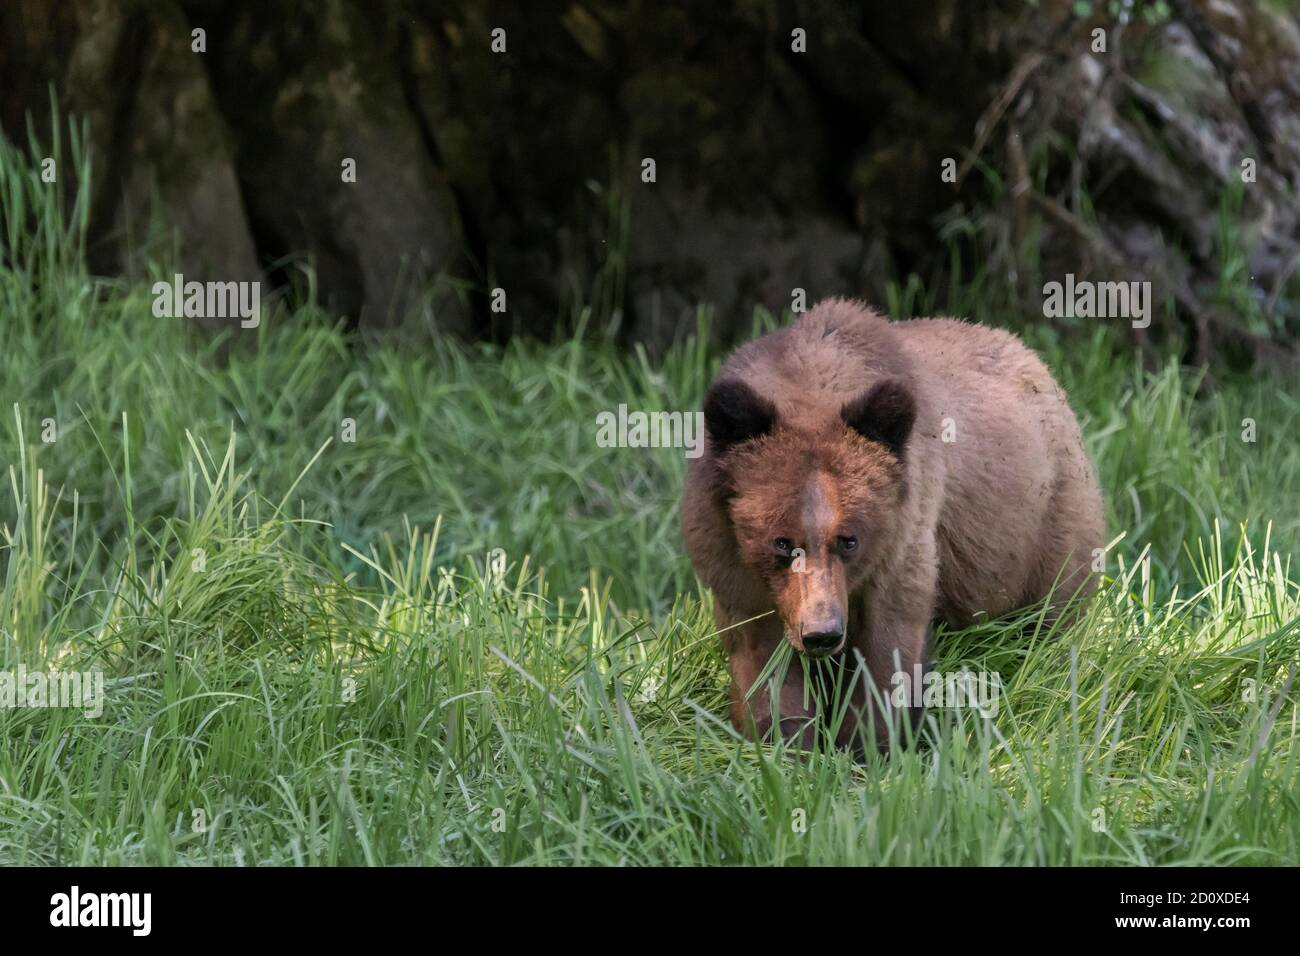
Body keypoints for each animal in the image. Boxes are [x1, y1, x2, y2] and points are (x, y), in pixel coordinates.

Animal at [681, 295, 1107, 749]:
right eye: (781, 542)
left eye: (848, 539)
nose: (822, 634)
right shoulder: (732, 556)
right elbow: (761, 653)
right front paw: (783, 737)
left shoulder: (905, 531)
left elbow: (890, 642)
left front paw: (870, 741)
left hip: (1046, 521)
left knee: (1053, 612)